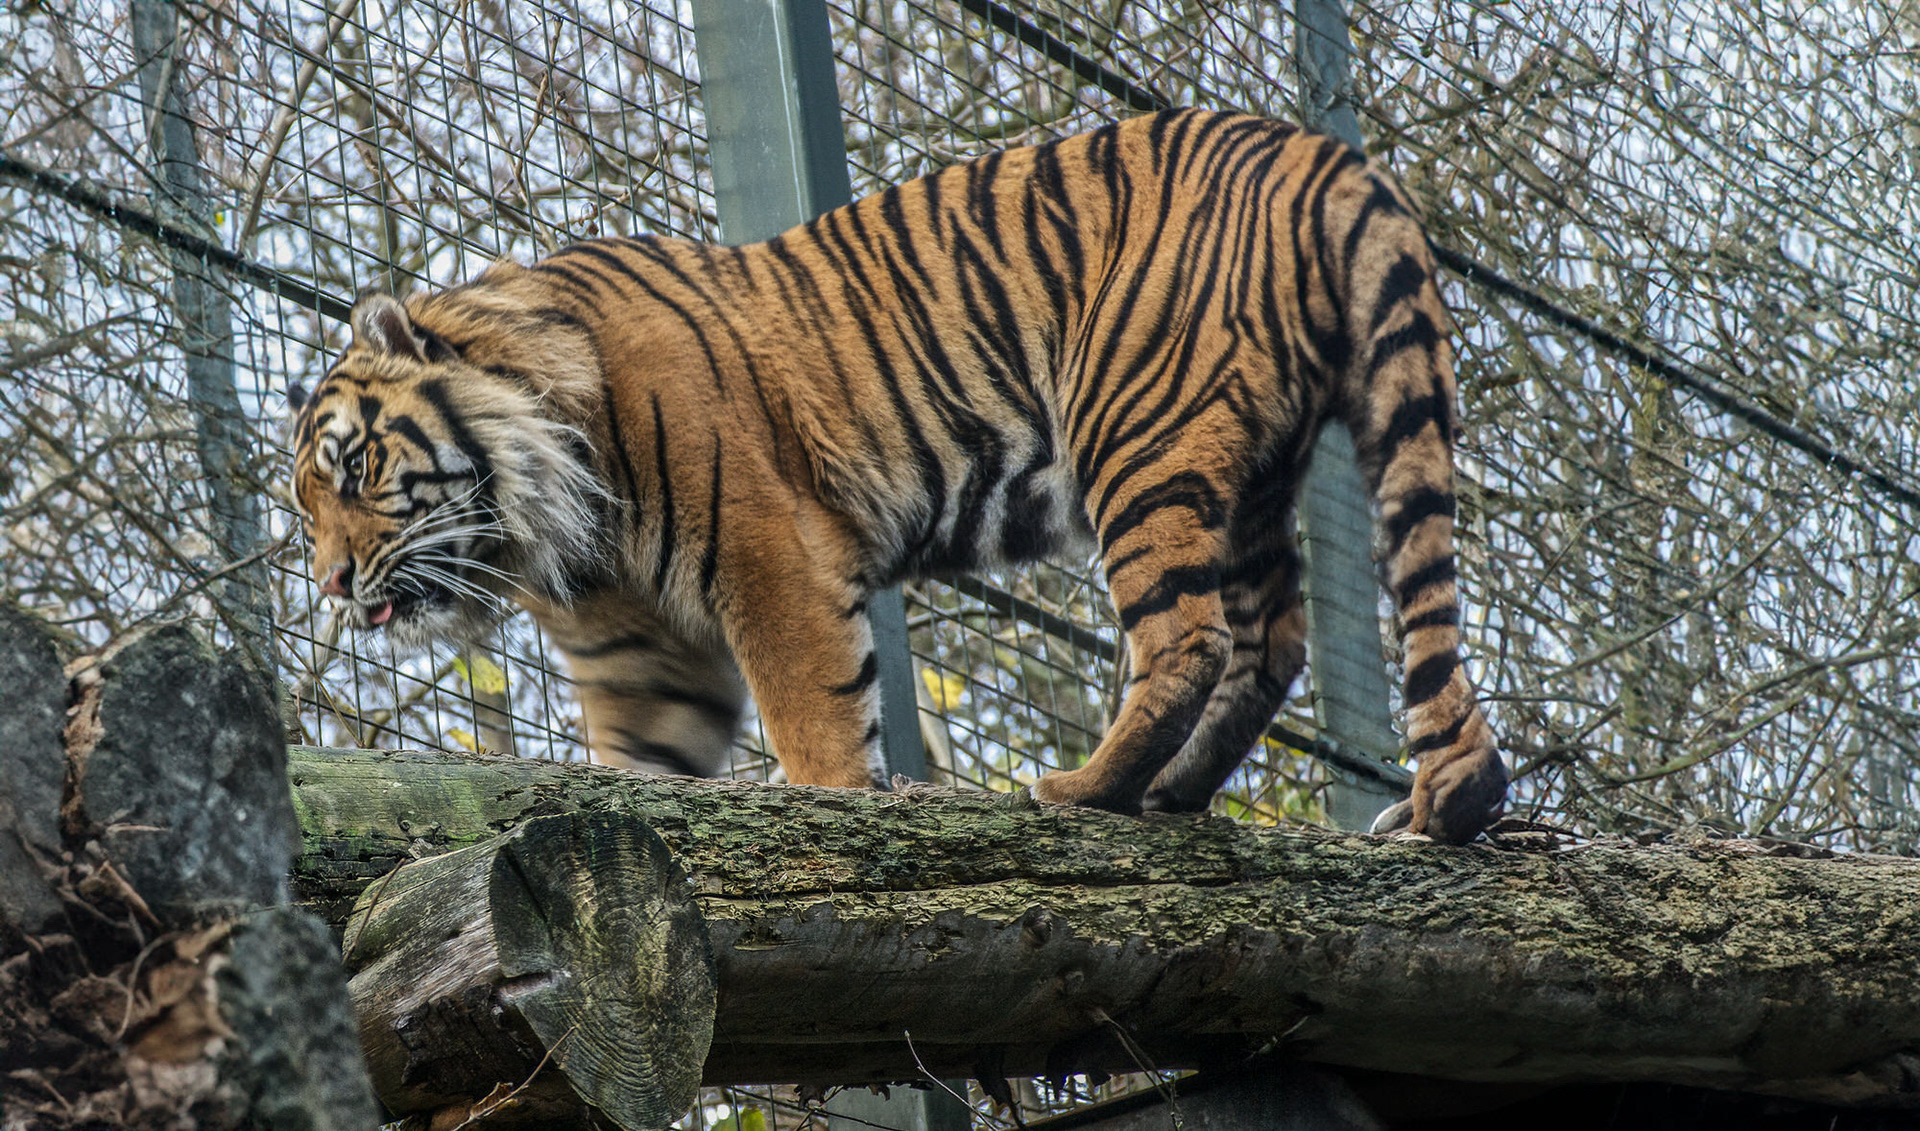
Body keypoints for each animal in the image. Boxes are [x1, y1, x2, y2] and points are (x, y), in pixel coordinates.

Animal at [289, 108, 1508, 843]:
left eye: (354, 470)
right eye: (307, 509)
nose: (333, 585)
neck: (556, 518)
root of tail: (1319, 149)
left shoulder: (769, 557)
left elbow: (817, 721)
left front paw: (835, 811)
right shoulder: (644, 659)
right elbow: (640, 771)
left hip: (1140, 431)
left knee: (1191, 639)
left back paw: (1087, 791)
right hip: (1248, 470)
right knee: (1272, 640)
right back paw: (1170, 795)